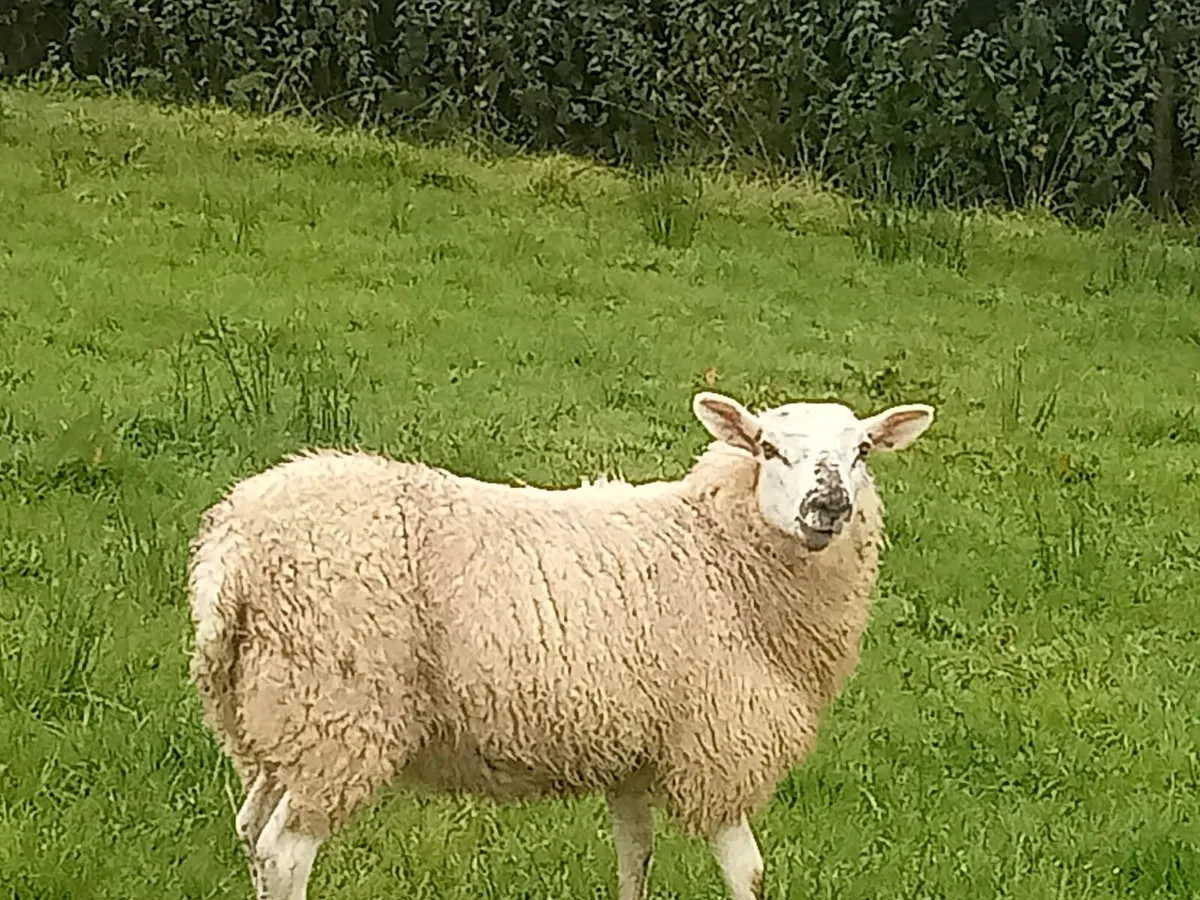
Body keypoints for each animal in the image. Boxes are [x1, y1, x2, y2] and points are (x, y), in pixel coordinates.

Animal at [187, 390, 935, 900]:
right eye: (769, 449)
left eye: (862, 452)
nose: (829, 507)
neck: (716, 548)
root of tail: (232, 548)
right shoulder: (717, 745)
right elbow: (748, 874)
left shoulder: (635, 755)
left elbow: (636, 856)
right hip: (338, 714)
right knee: (285, 852)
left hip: (273, 718)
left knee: (251, 831)